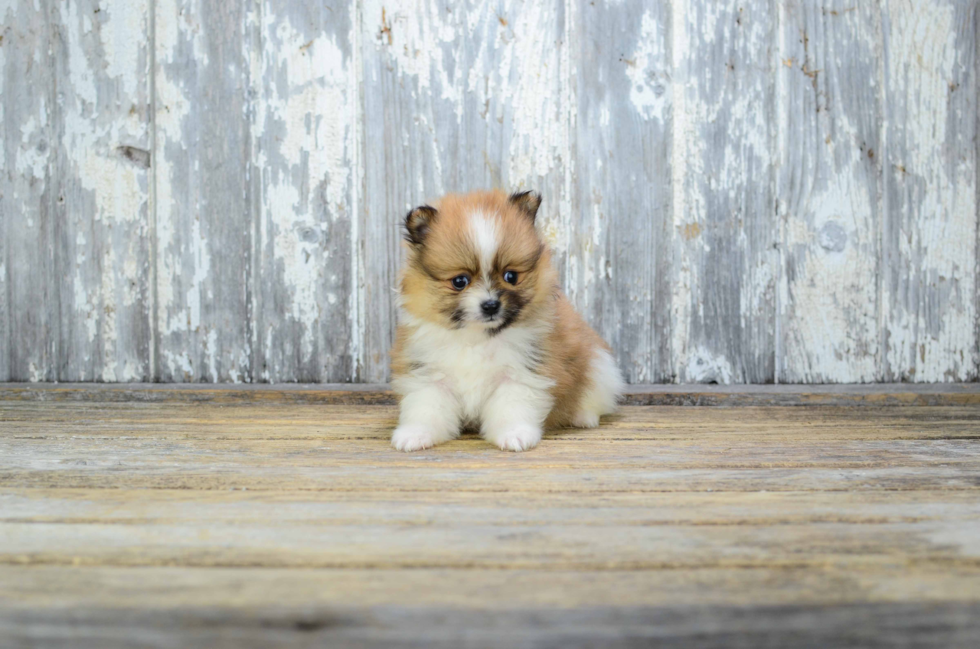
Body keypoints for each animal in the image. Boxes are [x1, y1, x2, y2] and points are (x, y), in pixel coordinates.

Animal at [388, 189, 620, 450]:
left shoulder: (521, 373)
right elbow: (425, 407)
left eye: (511, 276)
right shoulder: (429, 373)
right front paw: (415, 435)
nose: (490, 305)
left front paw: (515, 435)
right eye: (460, 281)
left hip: (599, 367)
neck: (477, 337)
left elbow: (512, 407)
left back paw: (583, 417)